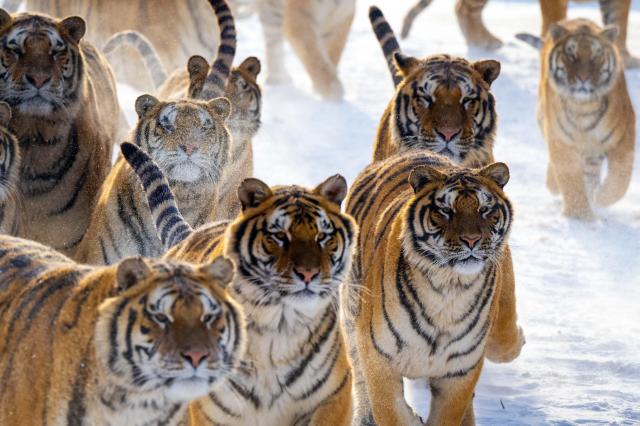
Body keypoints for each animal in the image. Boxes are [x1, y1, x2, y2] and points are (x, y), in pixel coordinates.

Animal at [343, 150, 524, 425]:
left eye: (484, 209)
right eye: (445, 211)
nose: (472, 240)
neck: (450, 288)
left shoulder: (460, 371)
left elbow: (448, 415)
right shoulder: (378, 355)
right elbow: (389, 410)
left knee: (504, 343)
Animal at [516, 19, 635, 220]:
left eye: (596, 55)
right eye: (571, 55)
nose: (583, 78)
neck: (583, 107)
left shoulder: (624, 137)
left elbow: (620, 179)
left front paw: (601, 198)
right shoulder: (561, 140)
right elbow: (570, 178)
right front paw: (580, 215)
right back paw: (554, 185)